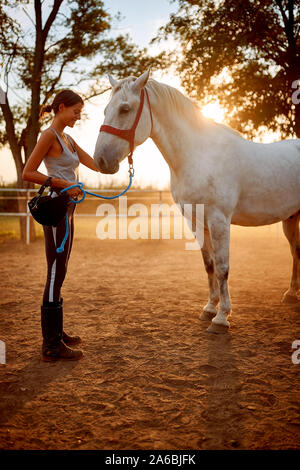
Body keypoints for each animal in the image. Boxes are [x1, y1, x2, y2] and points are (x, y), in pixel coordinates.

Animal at [93, 70, 300, 334]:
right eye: (105, 109)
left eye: (125, 109)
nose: (101, 160)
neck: (198, 155)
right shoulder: (195, 221)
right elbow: (209, 265)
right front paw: (209, 308)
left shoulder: (219, 221)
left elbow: (222, 268)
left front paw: (221, 318)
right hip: (290, 218)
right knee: (296, 251)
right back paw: (291, 294)